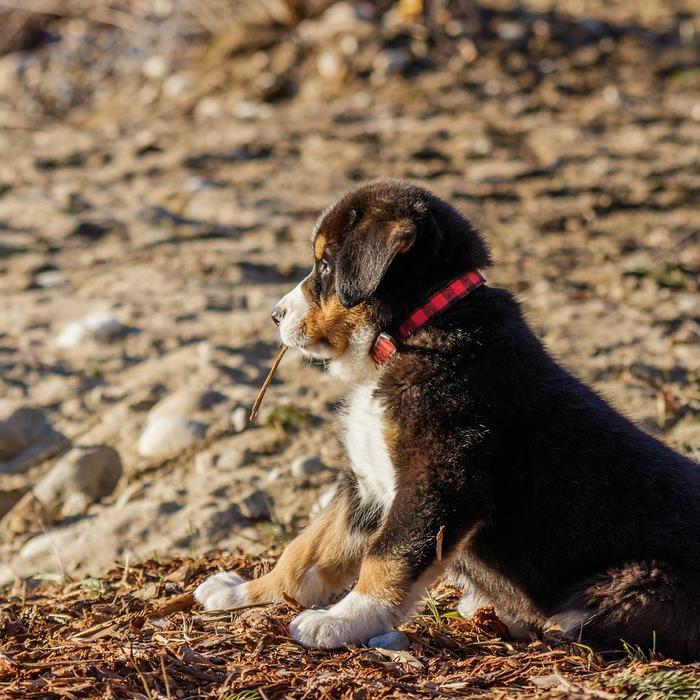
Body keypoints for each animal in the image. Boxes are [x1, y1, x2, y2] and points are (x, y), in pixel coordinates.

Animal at [194, 178, 700, 660]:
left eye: (325, 267)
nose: (274, 314)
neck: (411, 333)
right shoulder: (364, 487)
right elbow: (307, 550)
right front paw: (243, 591)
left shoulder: (439, 479)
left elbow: (387, 556)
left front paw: (340, 621)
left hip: (641, 582)